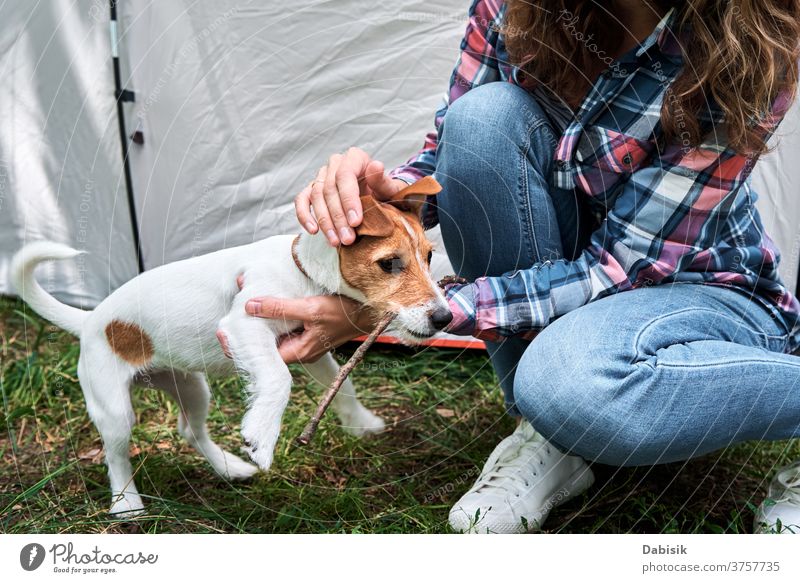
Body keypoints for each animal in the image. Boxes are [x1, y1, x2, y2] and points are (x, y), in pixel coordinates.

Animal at [10, 176, 450, 516]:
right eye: (389, 263)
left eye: (429, 257)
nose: (445, 318)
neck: (303, 270)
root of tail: (90, 320)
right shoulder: (244, 324)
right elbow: (278, 378)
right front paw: (262, 436)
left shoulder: (311, 342)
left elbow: (342, 385)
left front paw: (360, 422)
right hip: (114, 407)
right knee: (115, 453)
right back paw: (127, 504)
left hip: (191, 387)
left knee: (190, 431)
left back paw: (229, 468)